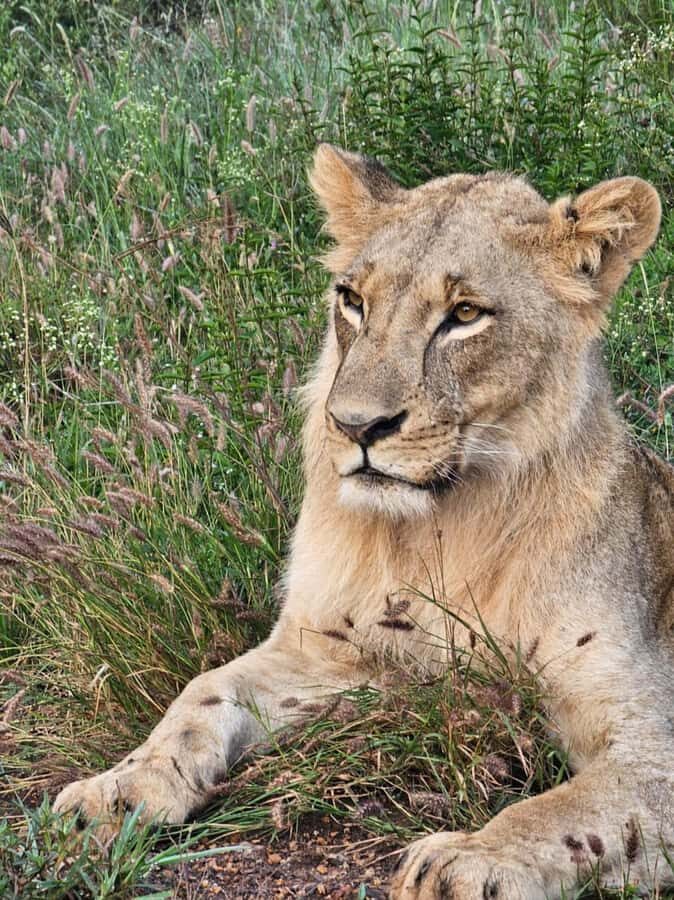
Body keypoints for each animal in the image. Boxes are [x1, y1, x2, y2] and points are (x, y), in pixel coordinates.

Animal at [54, 144, 674, 899]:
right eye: (353, 301)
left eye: (465, 313)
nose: (355, 425)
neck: (443, 531)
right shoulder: (333, 652)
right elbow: (201, 695)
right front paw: (115, 791)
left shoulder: (647, 732)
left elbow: (567, 810)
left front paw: (469, 860)